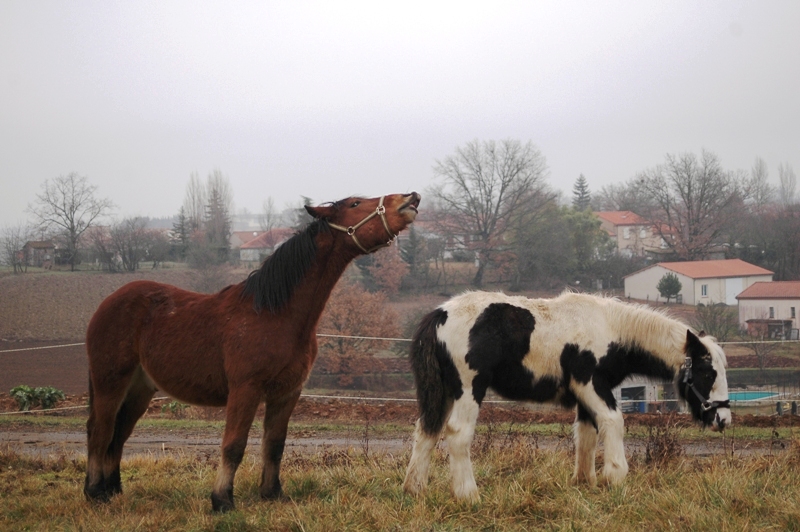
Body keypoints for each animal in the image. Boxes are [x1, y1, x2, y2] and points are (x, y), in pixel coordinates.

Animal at [84, 191, 422, 512]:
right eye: (355, 203)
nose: (410, 198)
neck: (274, 313)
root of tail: (107, 303)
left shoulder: (287, 392)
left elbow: (274, 444)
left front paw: (272, 493)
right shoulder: (245, 389)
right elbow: (234, 445)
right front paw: (222, 500)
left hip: (140, 389)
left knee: (118, 434)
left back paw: (113, 490)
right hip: (110, 383)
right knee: (100, 431)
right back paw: (95, 493)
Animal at [406, 294, 732, 500]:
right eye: (708, 372)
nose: (723, 418)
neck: (610, 327)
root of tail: (439, 316)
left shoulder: (586, 396)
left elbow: (586, 435)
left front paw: (585, 483)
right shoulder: (590, 385)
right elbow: (613, 422)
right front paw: (615, 477)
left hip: (443, 392)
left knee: (427, 431)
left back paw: (416, 489)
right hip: (468, 388)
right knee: (457, 433)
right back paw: (468, 495)